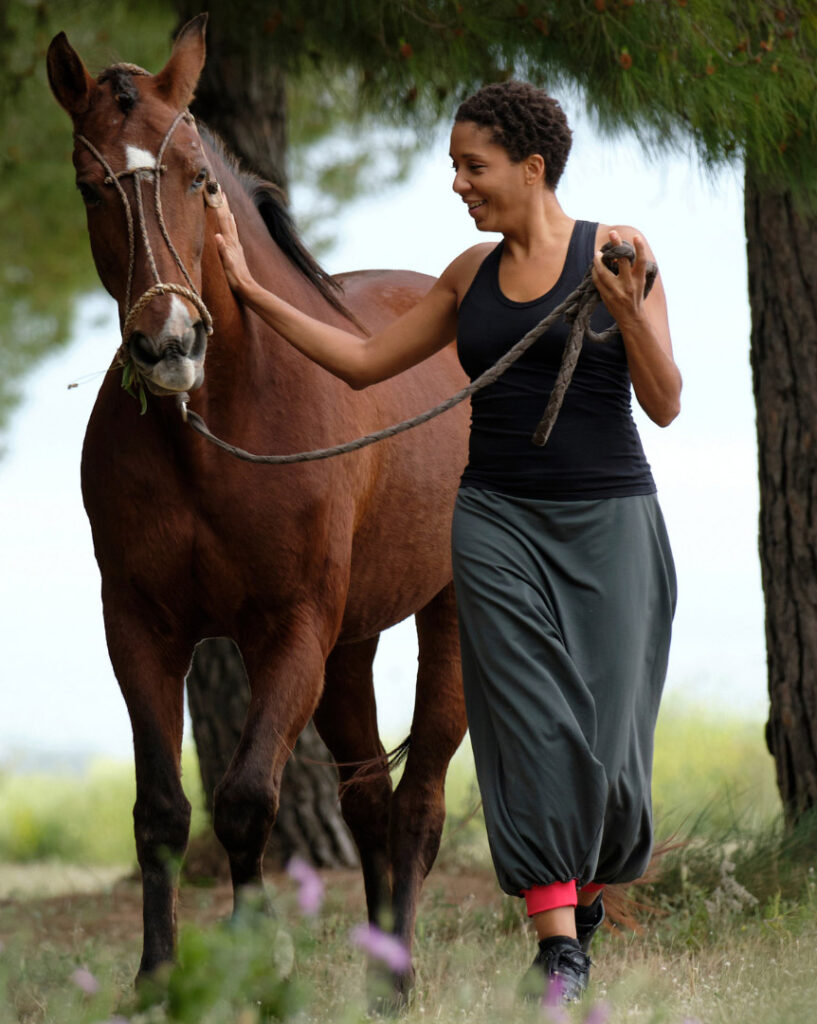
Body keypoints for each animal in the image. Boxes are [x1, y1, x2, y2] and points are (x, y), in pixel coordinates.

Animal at [48, 12, 470, 995]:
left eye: (198, 178)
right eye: (90, 186)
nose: (167, 345)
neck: (214, 430)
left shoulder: (291, 627)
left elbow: (244, 800)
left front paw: (251, 961)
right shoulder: (140, 627)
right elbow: (163, 811)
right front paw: (157, 980)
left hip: (442, 617)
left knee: (419, 800)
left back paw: (396, 983)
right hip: (352, 646)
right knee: (368, 797)